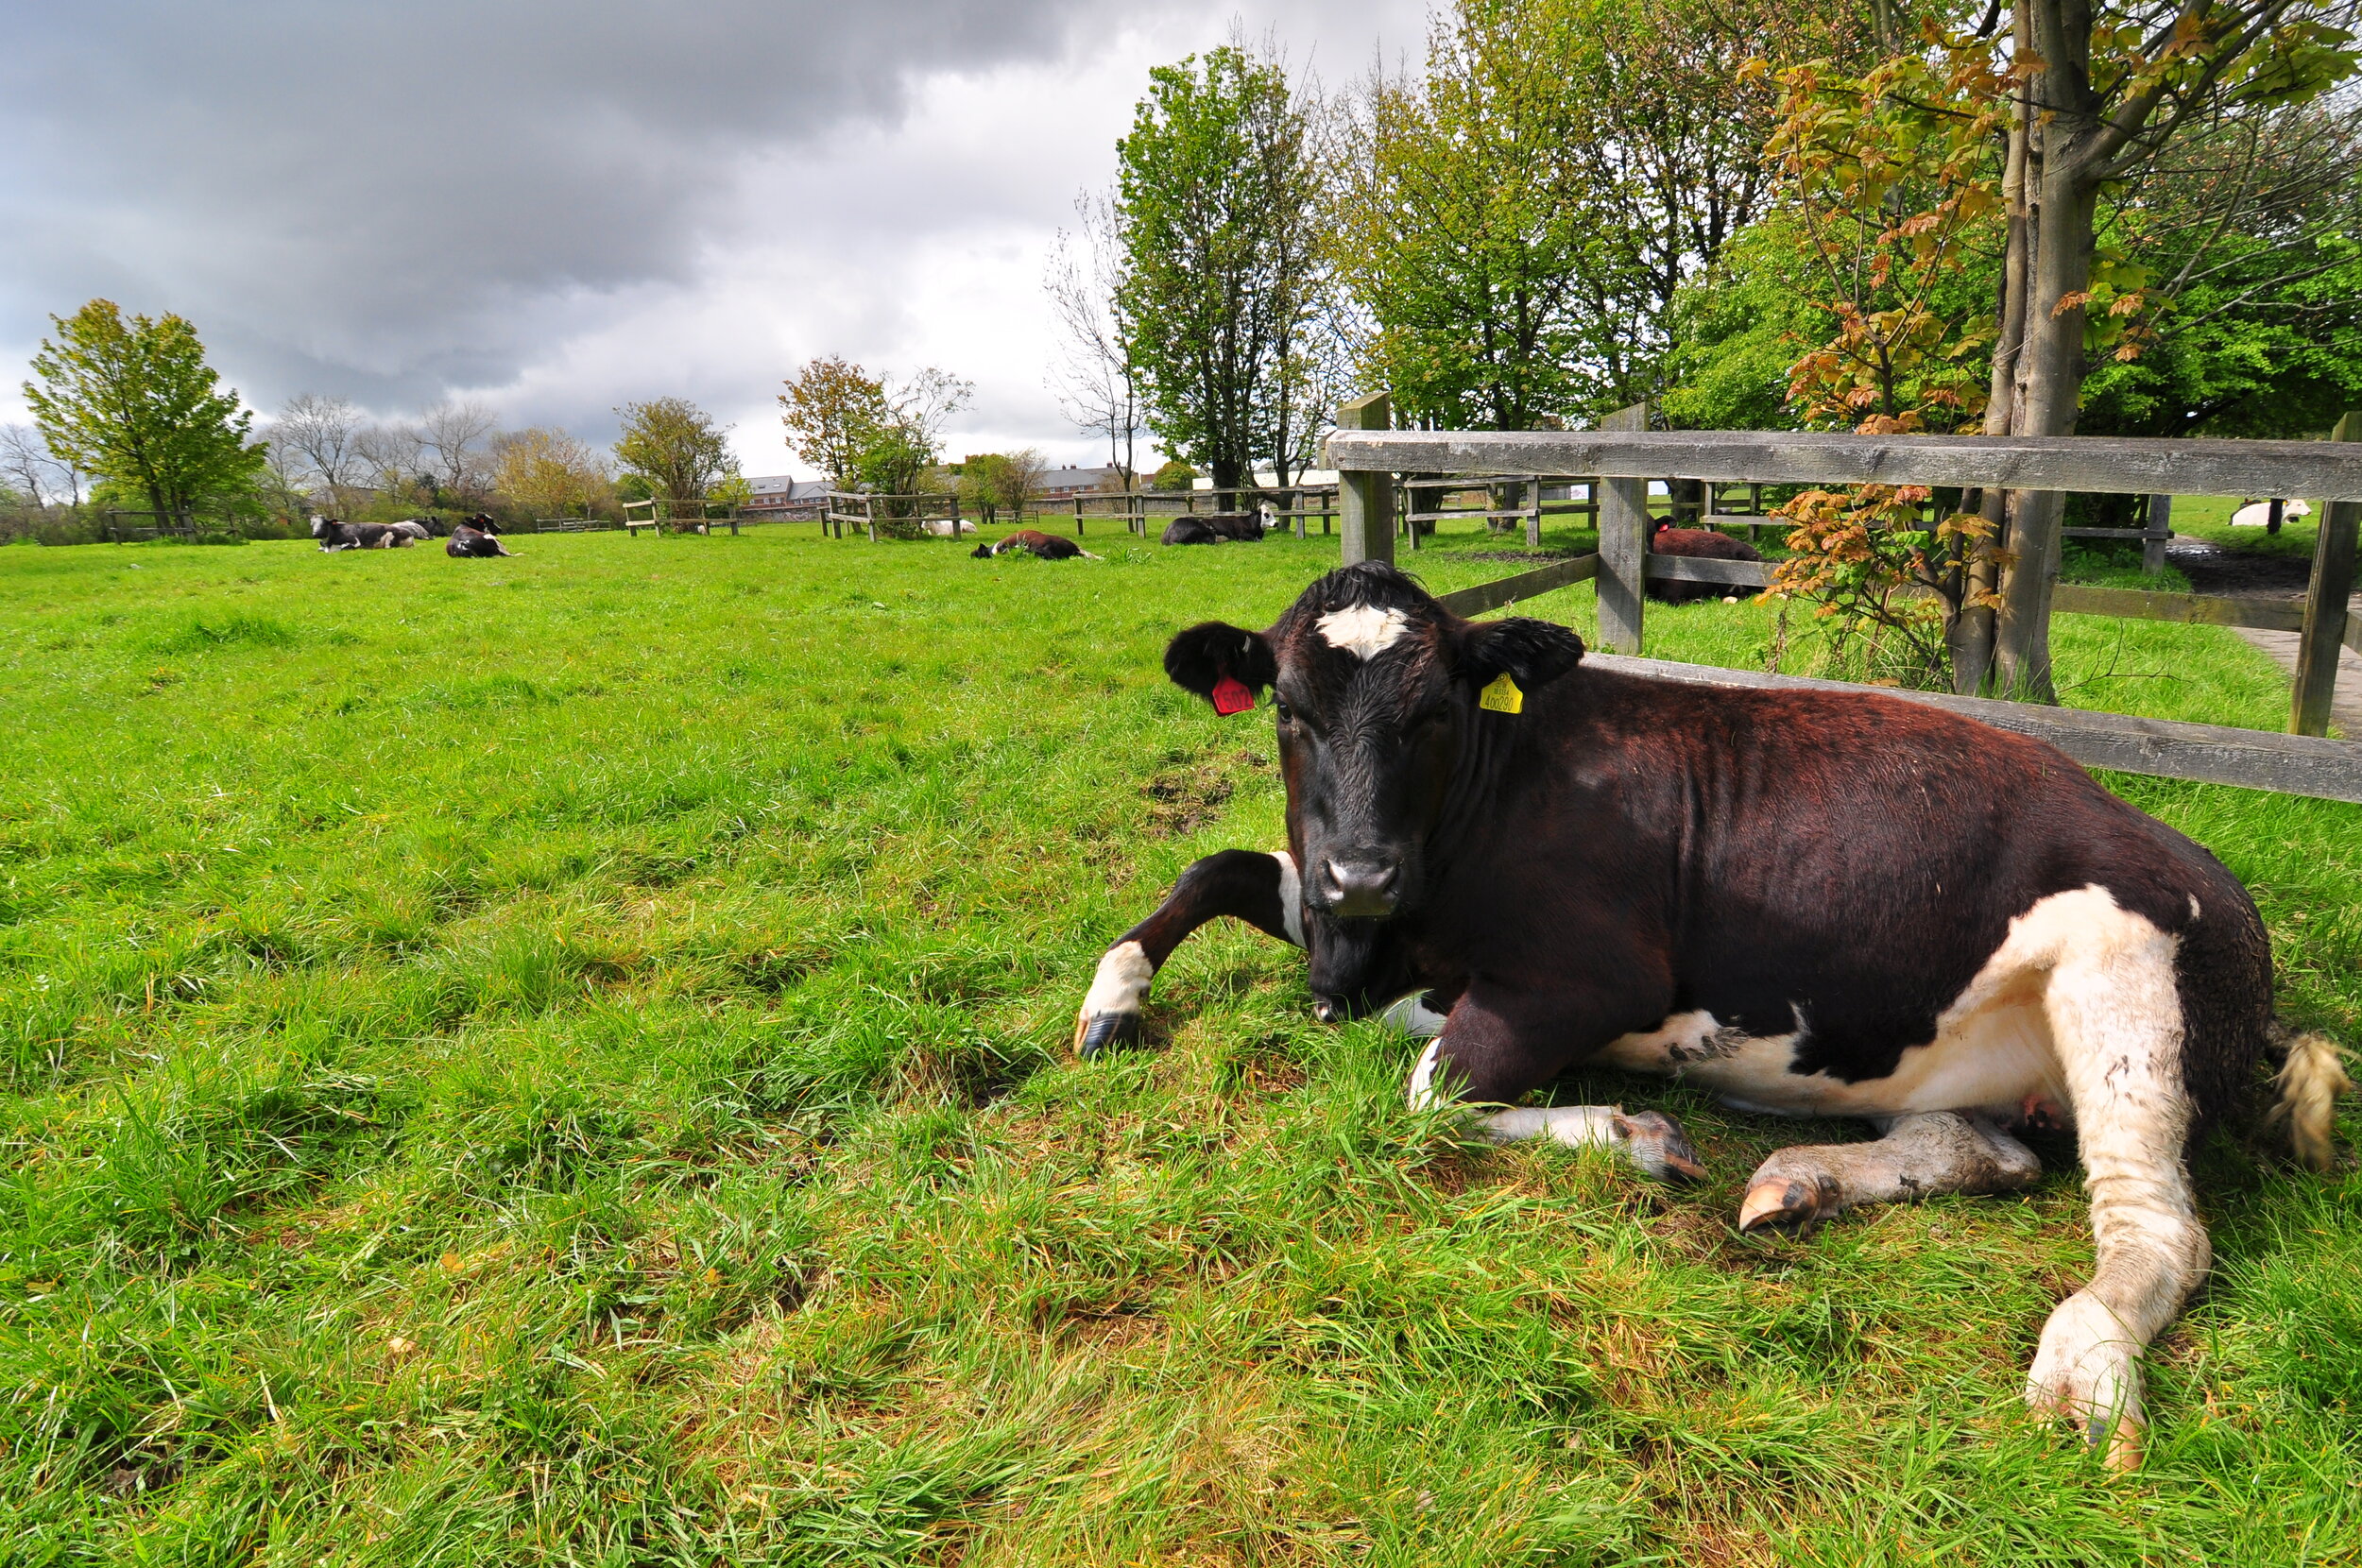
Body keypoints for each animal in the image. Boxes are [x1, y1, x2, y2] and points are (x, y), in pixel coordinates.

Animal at [1070, 561, 2348, 1469]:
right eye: (1287, 705)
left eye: (1435, 708)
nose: (1363, 871)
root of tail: (2193, 858)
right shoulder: (1356, 933)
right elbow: (1221, 865)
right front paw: (1110, 998)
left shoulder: (1587, 977)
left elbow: (1426, 1098)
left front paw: (1633, 1134)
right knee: (1982, 1147)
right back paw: (1804, 1179)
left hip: (2125, 990)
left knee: (2157, 1227)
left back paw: (2082, 1368)